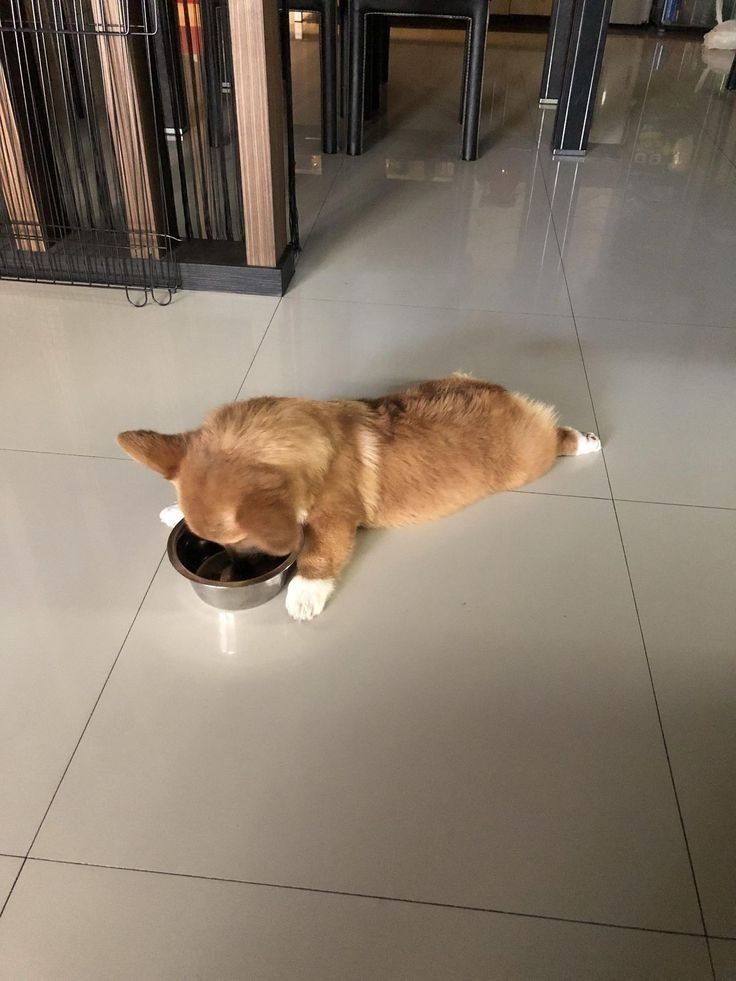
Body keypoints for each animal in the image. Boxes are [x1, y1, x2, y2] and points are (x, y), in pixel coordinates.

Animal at [118, 376, 600, 620]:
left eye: (243, 544)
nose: (239, 568)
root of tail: (504, 396)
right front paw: (173, 511)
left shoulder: (335, 519)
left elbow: (318, 555)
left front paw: (303, 595)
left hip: (530, 460)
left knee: (557, 434)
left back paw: (586, 440)